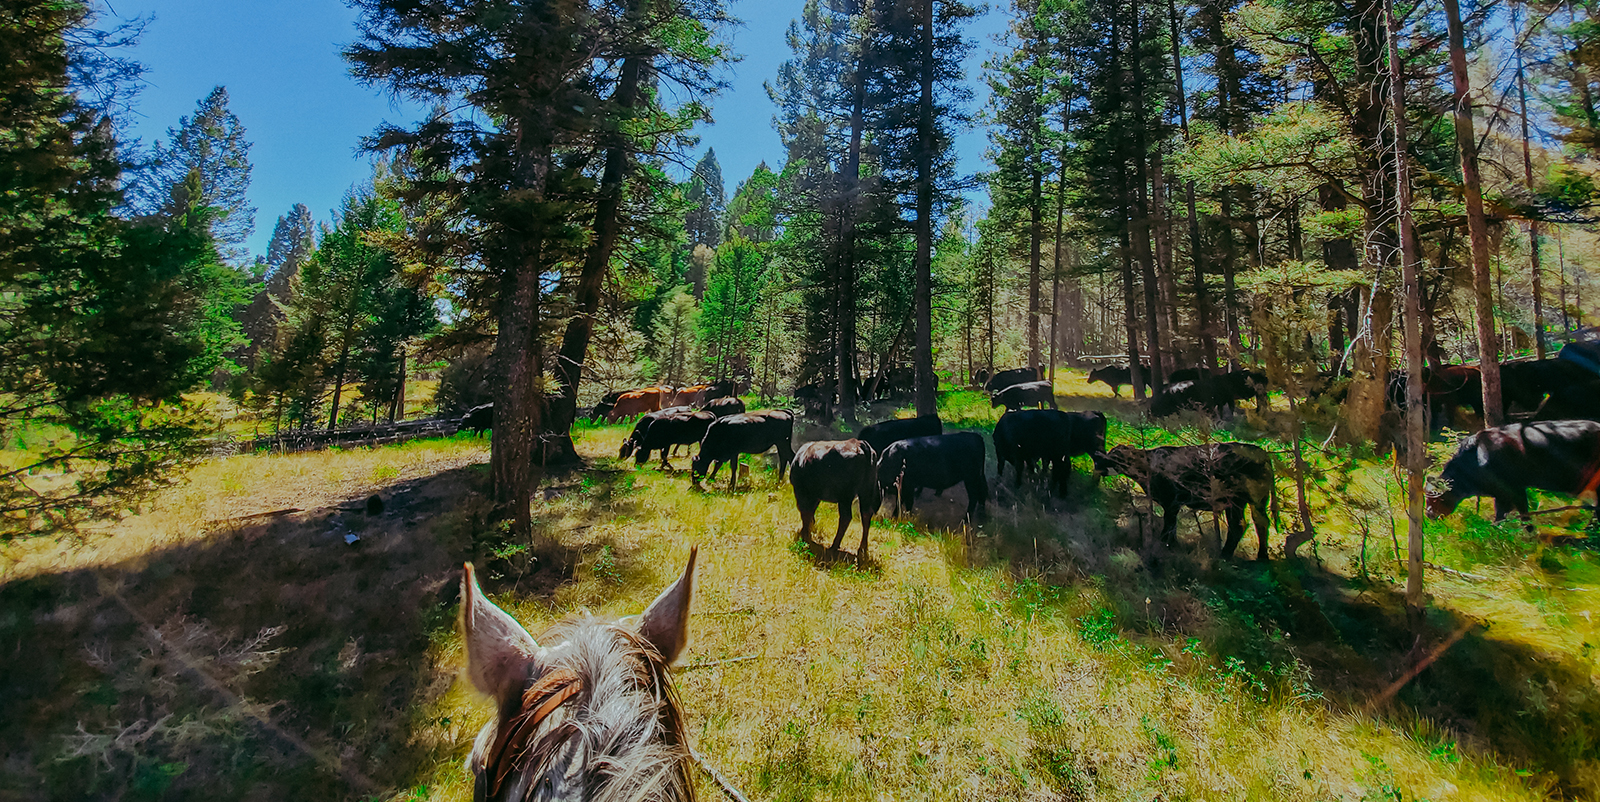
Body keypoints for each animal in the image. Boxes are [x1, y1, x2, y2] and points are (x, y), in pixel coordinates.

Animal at [1094, 441, 1280, 560]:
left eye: (1115, 456)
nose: (1098, 463)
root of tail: (1263, 454)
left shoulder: (1171, 501)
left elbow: (1169, 525)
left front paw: (1164, 544)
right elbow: (1172, 526)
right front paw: (1173, 545)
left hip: (1238, 500)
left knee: (1240, 526)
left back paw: (1225, 555)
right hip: (1254, 501)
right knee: (1259, 523)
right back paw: (1261, 556)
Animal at [1427, 419, 1600, 525]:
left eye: (1437, 497)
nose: (1428, 514)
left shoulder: (1515, 489)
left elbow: (1522, 515)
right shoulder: (1502, 494)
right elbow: (1501, 516)